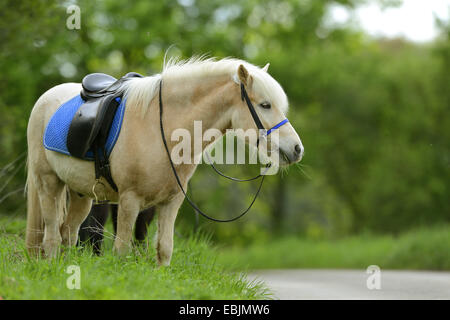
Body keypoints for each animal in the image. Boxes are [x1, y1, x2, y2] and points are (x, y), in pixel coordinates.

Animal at [26, 57, 304, 264]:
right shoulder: (129, 200)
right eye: (265, 105)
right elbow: (121, 250)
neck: (163, 129)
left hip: (82, 195)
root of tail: (46, 97)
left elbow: (164, 249)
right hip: (48, 184)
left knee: (67, 233)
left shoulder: (171, 202)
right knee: (51, 236)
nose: (297, 149)